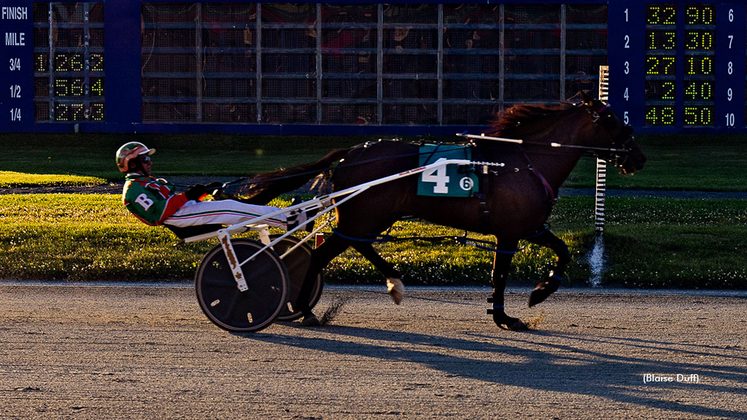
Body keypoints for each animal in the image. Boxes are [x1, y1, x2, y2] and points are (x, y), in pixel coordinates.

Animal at [235, 93, 648, 330]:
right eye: (611, 119)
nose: (638, 157)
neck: (523, 162)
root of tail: (350, 153)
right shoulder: (511, 233)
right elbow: (501, 276)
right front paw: (509, 314)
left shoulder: (527, 227)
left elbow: (561, 253)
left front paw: (535, 295)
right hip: (365, 216)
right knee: (323, 254)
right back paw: (306, 309)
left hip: (368, 218)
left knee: (357, 246)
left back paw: (393, 282)